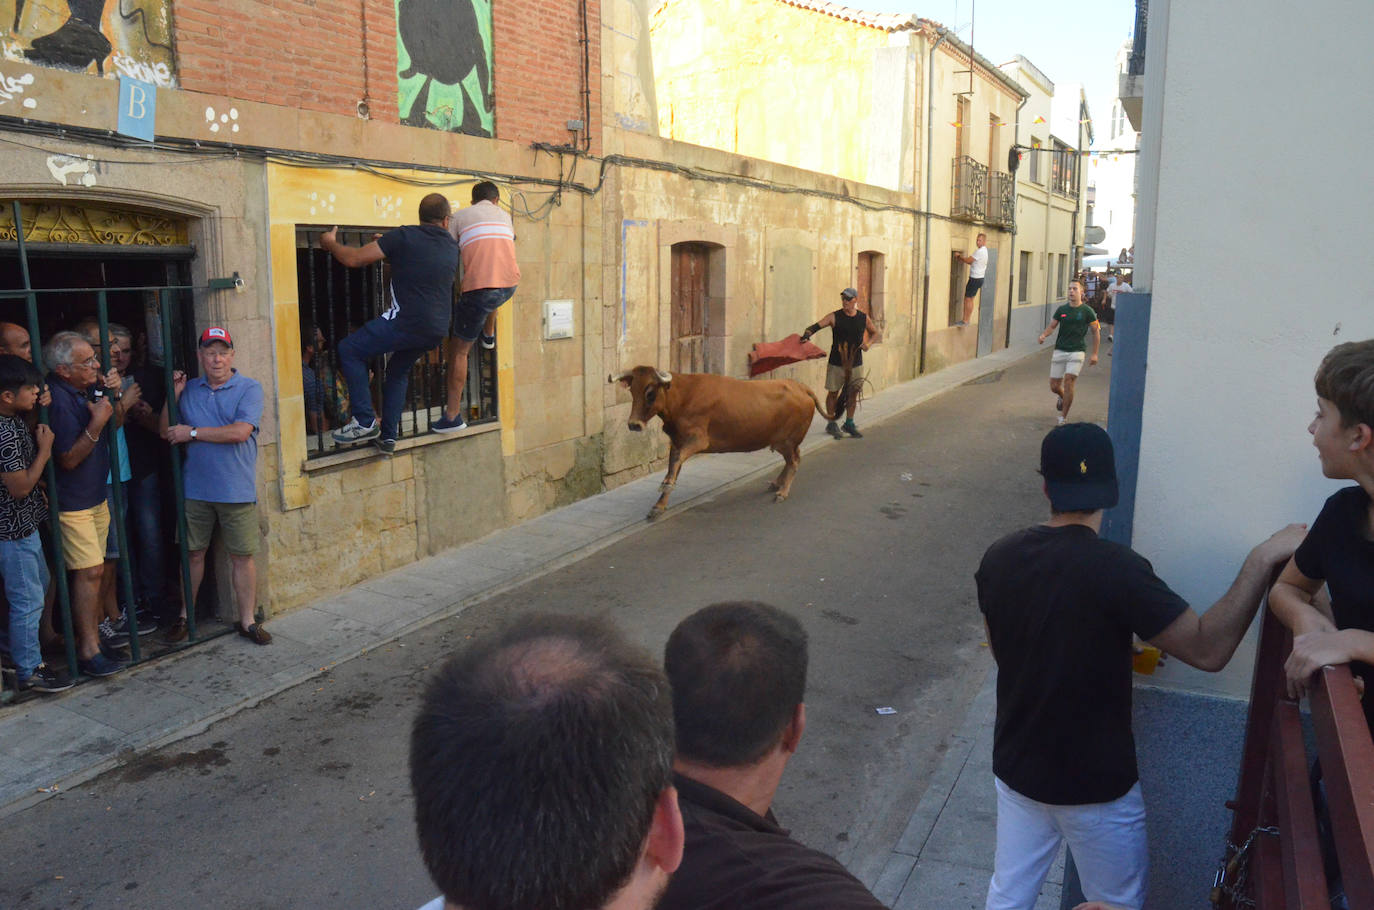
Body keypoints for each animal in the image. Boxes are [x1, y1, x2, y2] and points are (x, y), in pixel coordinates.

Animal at [612, 365, 835, 519]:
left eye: (650, 393)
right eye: (632, 391)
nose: (634, 424)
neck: (683, 396)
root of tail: (800, 386)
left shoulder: (698, 440)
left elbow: (676, 461)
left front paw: (665, 486)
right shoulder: (677, 441)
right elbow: (673, 465)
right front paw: (659, 505)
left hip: (787, 441)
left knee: (794, 461)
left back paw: (783, 491)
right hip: (782, 442)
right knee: (791, 461)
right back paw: (776, 484)